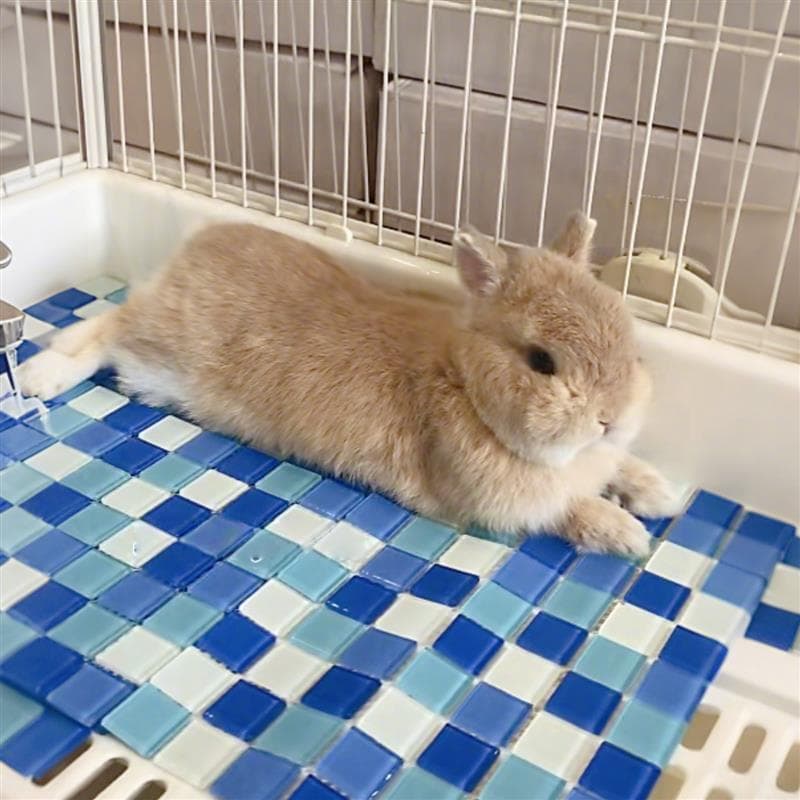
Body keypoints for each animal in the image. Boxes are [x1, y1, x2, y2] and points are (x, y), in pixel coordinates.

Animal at [18, 210, 678, 557]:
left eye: (629, 340)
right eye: (541, 361)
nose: (612, 418)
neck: (464, 384)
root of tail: (195, 245)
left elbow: (618, 469)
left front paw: (659, 492)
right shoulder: (495, 506)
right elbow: (568, 512)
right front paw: (627, 535)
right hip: (160, 345)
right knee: (108, 326)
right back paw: (37, 377)